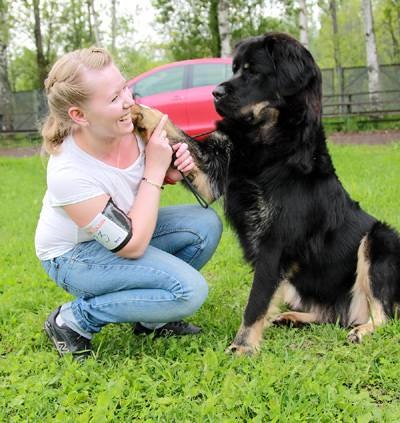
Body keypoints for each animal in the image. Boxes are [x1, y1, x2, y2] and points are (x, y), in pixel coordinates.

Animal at [132, 32, 400, 354]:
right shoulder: (212, 173)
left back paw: (361, 331)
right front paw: (142, 112)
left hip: (380, 238)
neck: (268, 146)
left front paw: (242, 347)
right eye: (235, 69)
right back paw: (293, 317)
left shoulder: (275, 244)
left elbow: (256, 301)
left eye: (252, 71)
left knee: (383, 315)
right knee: (334, 316)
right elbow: (175, 132)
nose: (214, 93)